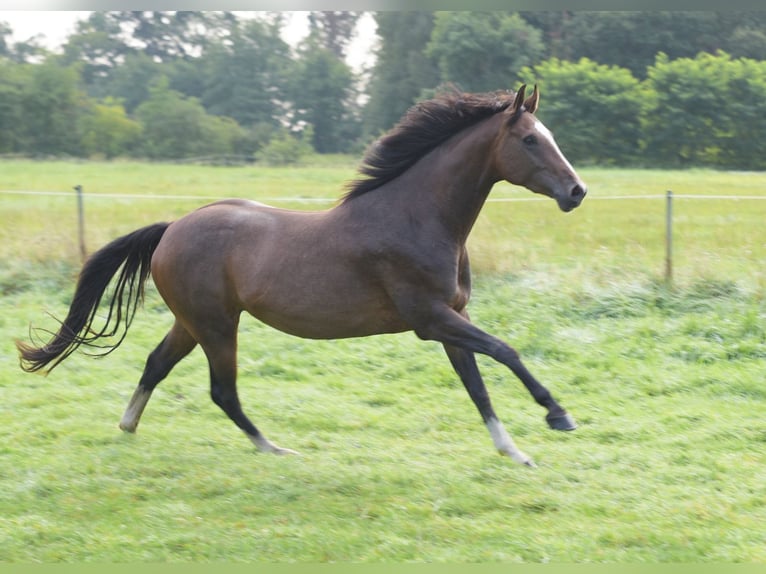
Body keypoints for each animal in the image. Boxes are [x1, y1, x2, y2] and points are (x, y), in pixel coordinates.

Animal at [16, 84, 588, 468]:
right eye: (530, 140)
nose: (577, 191)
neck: (416, 216)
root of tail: (172, 227)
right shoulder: (430, 319)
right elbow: (505, 351)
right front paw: (558, 415)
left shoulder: (451, 318)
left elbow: (477, 386)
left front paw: (514, 451)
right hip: (217, 325)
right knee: (222, 391)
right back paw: (273, 447)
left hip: (193, 322)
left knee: (157, 364)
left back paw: (129, 426)